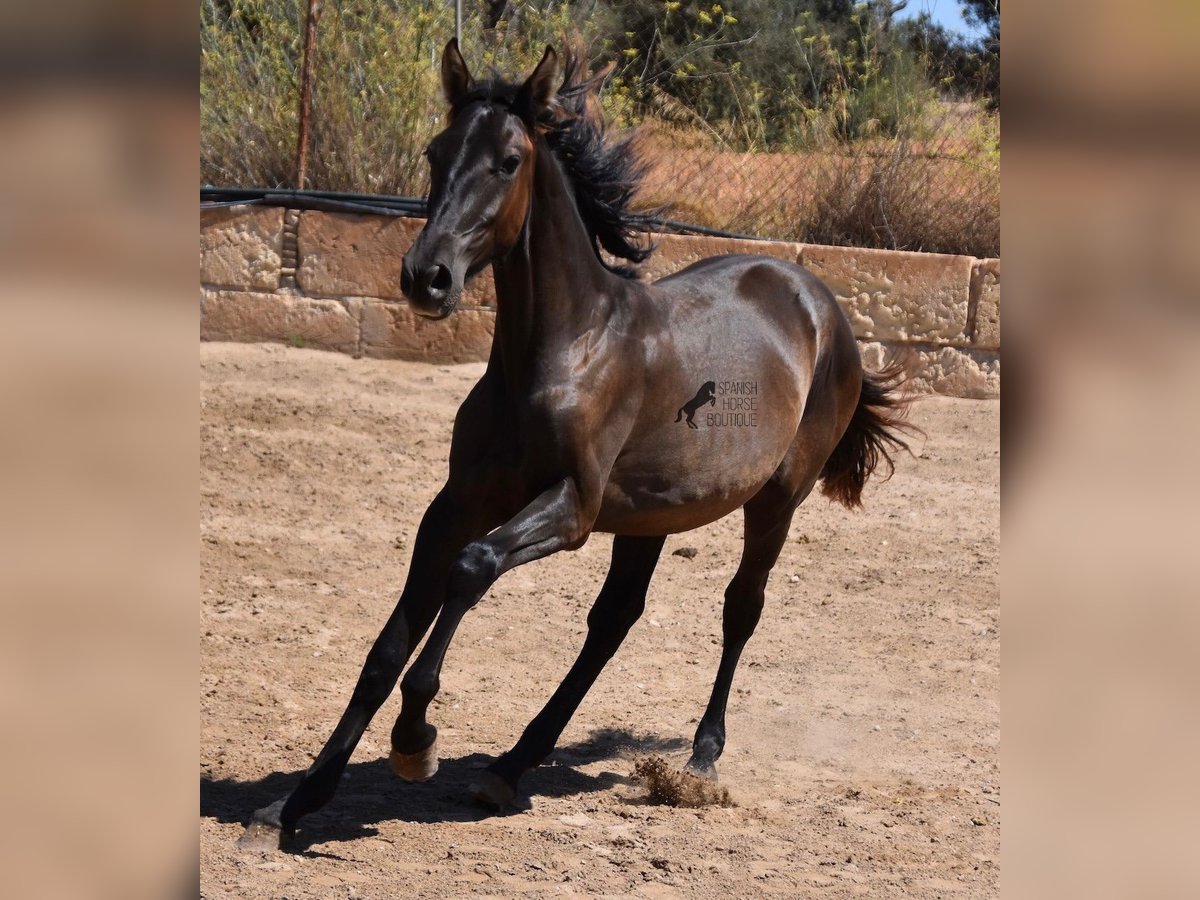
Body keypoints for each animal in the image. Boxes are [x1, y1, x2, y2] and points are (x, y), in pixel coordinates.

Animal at [238, 37, 912, 854]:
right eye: (436, 153)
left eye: (508, 161)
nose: (427, 278)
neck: (559, 351)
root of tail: (820, 301)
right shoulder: (457, 502)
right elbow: (388, 646)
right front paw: (294, 803)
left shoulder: (571, 509)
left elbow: (472, 570)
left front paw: (414, 741)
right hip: (654, 514)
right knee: (614, 619)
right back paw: (511, 766)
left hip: (777, 500)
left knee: (740, 608)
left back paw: (701, 758)